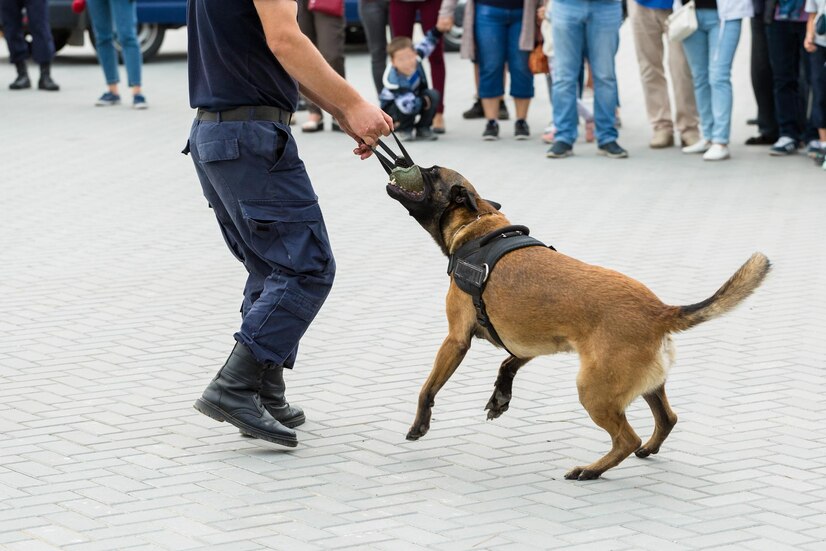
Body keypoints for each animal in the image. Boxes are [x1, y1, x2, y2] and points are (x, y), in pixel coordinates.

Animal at [376, 144, 768, 480]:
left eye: (430, 172)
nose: (400, 160)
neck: (476, 226)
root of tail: (659, 310)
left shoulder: (455, 340)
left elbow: (427, 388)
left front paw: (419, 425)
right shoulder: (529, 342)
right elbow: (508, 363)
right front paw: (501, 396)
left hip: (592, 390)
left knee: (627, 438)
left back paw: (591, 470)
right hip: (644, 384)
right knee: (666, 419)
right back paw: (645, 450)